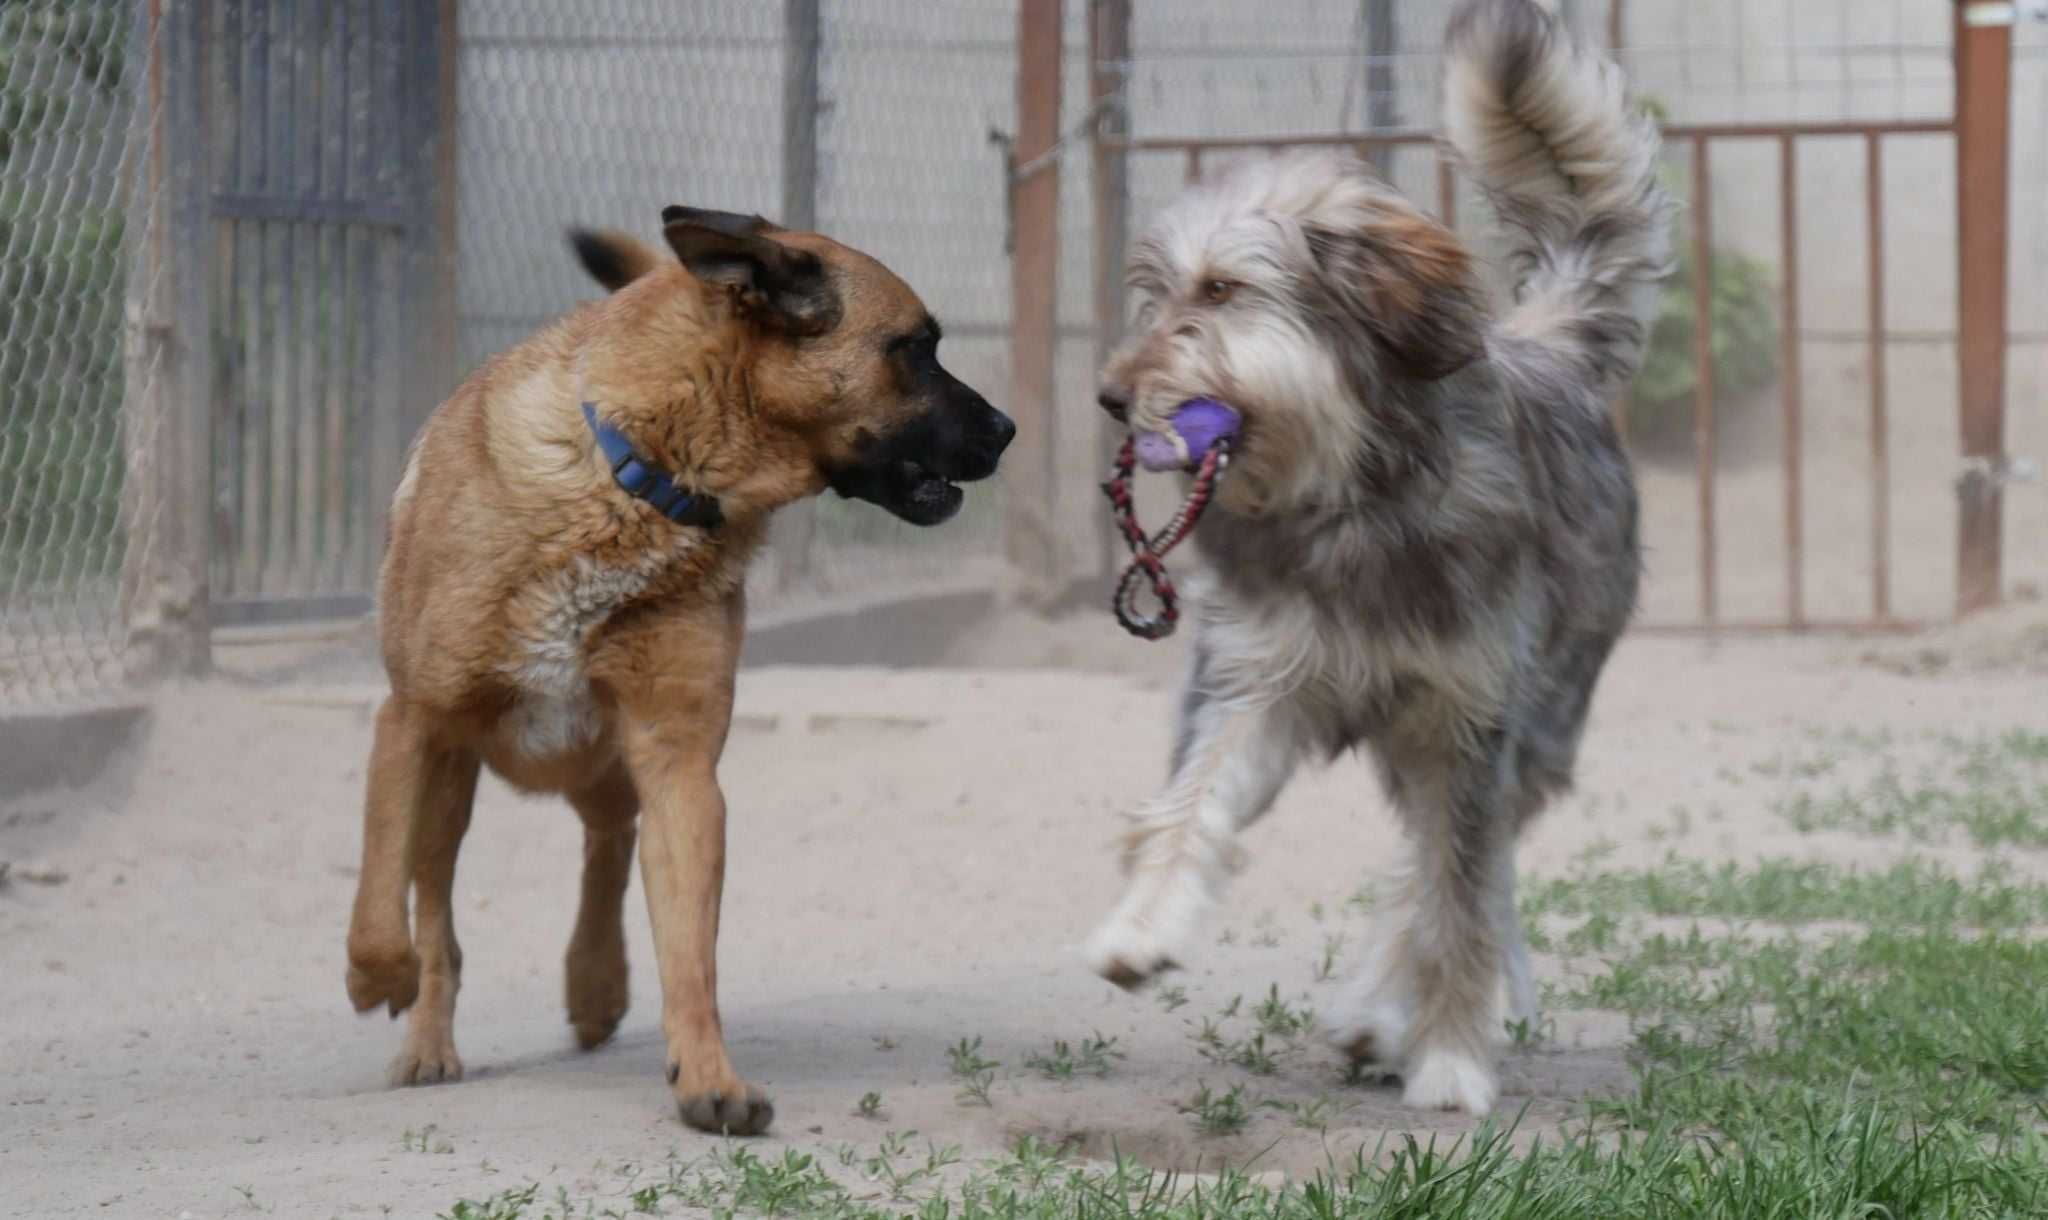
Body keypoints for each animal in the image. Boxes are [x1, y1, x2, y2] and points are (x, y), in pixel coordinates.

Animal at [346, 209, 1015, 1138]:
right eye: (915, 349)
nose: (1008, 430)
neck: (639, 479)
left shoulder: (680, 764)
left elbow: (690, 951)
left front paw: (708, 1080)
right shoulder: (410, 721)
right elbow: (382, 902)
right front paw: (377, 979)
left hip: (596, 757)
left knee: (608, 839)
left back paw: (594, 984)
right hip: (457, 778)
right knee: (436, 905)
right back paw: (427, 1041)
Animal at [1081, 0, 1671, 1113]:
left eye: (1221, 289)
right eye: (1154, 292)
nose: (1108, 395)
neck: (1354, 501)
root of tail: (1551, 342)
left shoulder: (1471, 715)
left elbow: (1453, 892)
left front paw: (1450, 1062)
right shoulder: (1256, 678)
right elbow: (1189, 802)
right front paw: (1138, 927)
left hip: (1541, 714)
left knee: (1453, 870)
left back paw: (1389, 1013)